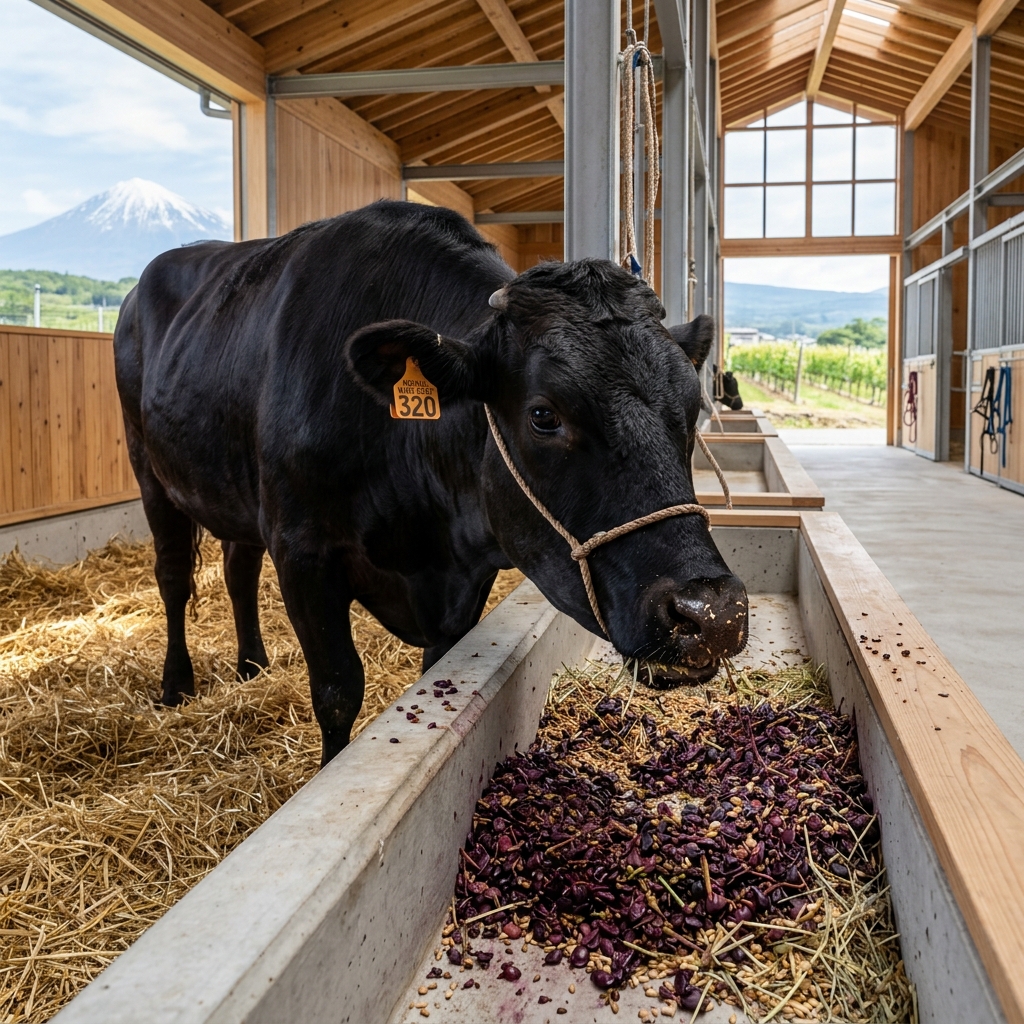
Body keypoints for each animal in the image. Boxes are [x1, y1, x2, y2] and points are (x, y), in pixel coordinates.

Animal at [114, 200, 748, 766]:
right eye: (544, 415)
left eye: (693, 406)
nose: (713, 613)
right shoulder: (302, 552)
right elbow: (338, 691)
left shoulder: (460, 579)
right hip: (149, 469)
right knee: (173, 576)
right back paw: (176, 686)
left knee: (238, 568)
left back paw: (252, 666)